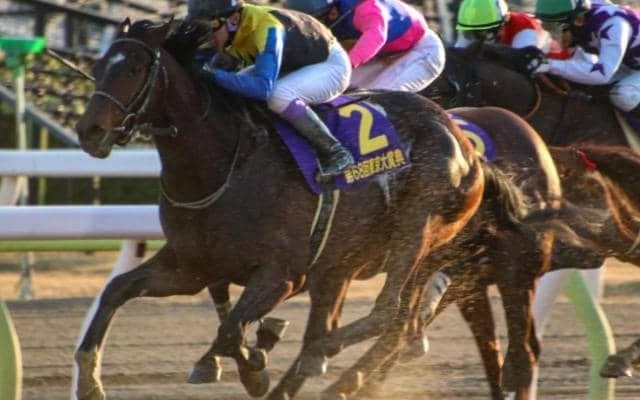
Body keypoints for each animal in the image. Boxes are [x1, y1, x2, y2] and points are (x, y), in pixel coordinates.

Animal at [73, 19, 491, 400]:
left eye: (132, 69)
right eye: (100, 66)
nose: (89, 131)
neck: (225, 165)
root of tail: (459, 135)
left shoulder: (282, 275)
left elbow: (230, 330)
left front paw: (250, 363)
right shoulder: (191, 265)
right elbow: (117, 290)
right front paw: (91, 382)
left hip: (416, 232)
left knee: (384, 316)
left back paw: (322, 357)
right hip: (346, 264)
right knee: (365, 323)